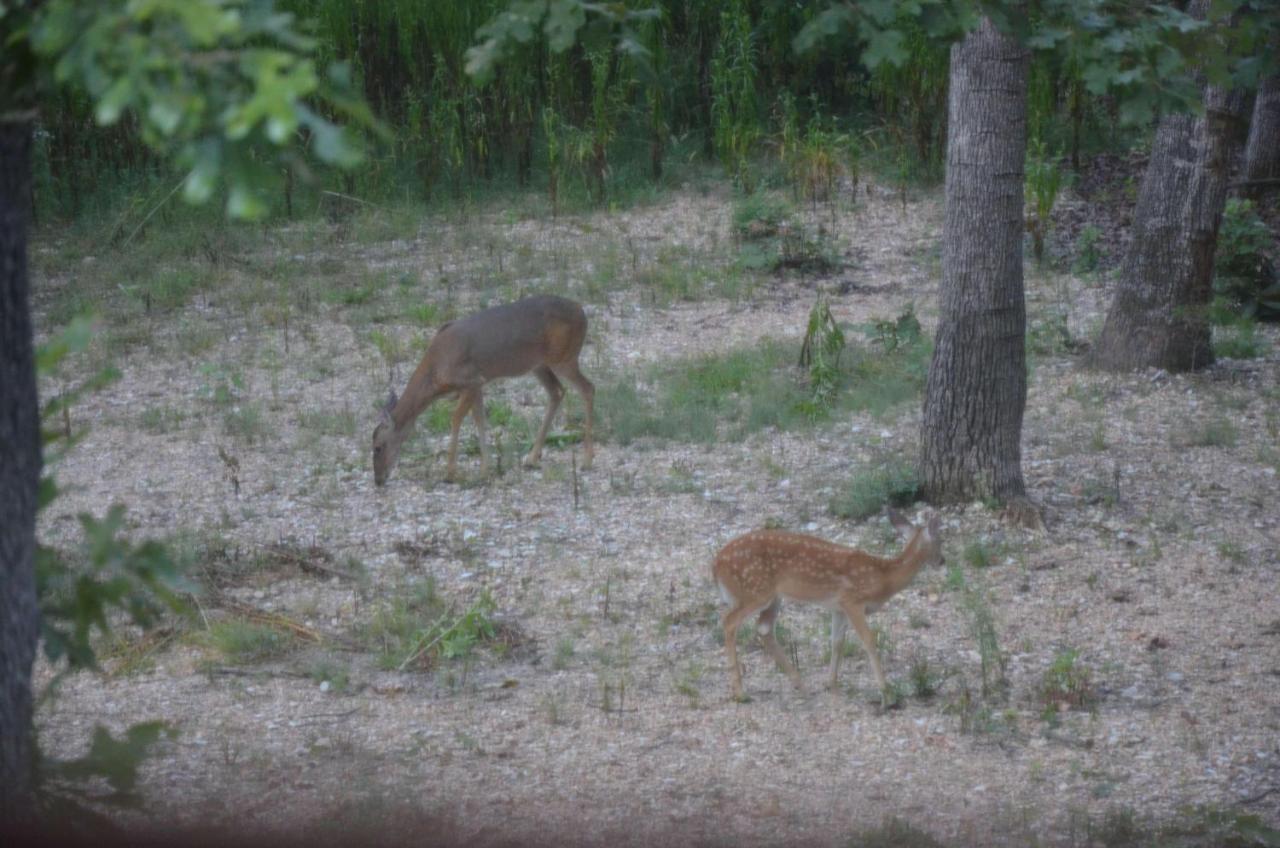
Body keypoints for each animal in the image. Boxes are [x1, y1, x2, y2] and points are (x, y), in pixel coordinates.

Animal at [368, 295, 591, 489]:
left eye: (378, 447)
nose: (378, 480)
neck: (437, 371)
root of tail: (582, 311)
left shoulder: (471, 380)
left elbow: (456, 418)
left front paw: (450, 473)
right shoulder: (478, 385)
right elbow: (480, 419)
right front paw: (485, 470)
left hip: (564, 357)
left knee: (587, 387)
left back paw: (586, 459)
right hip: (538, 364)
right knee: (557, 391)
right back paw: (531, 458)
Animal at [716, 512, 947, 701]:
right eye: (940, 541)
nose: (943, 561)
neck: (883, 577)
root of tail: (715, 565)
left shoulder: (838, 608)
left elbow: (837, 642)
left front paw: (831, 684)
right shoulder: (853, 601)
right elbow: (868, 640)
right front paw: (886, 691)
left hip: (772, 597)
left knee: (764, 628)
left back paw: (800, 684)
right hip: (755, 591)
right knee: (729, 621)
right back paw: (740, 693)